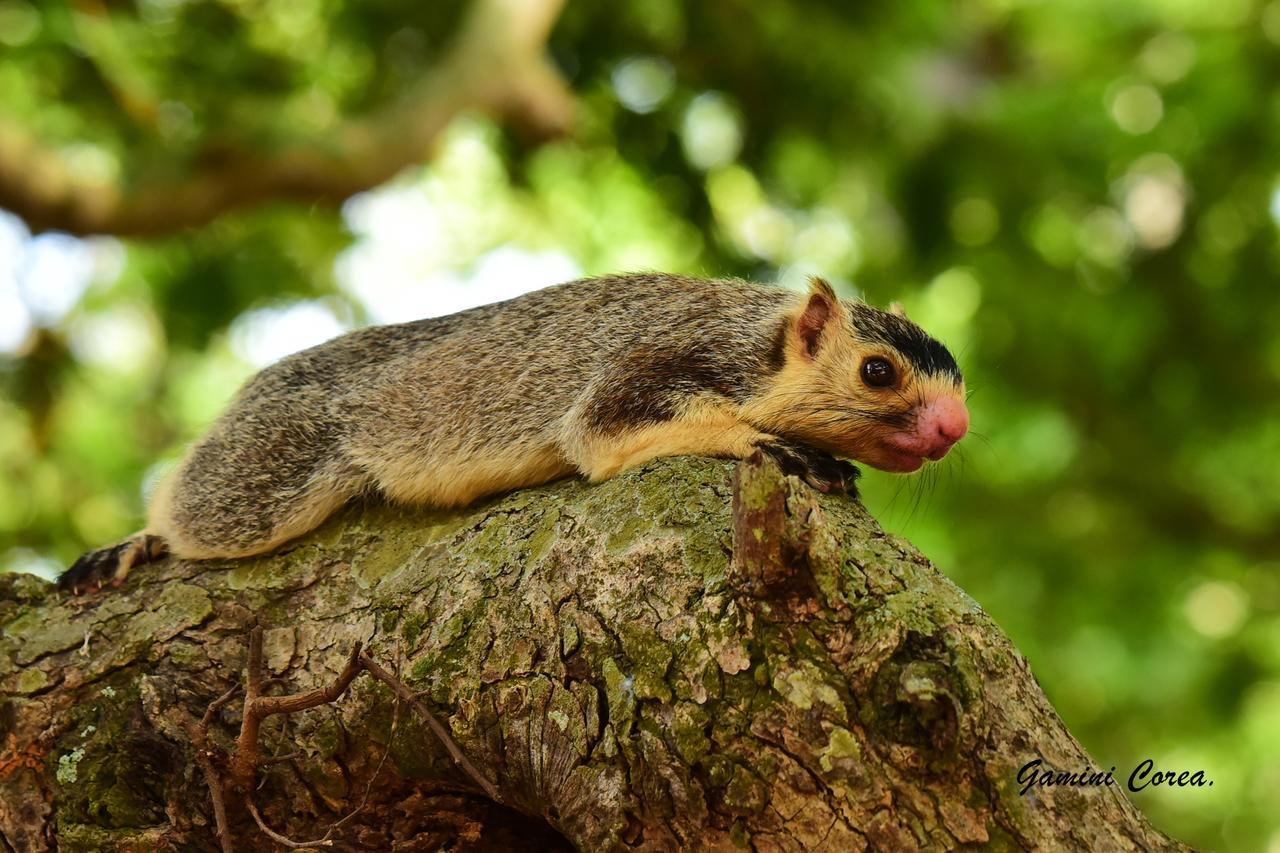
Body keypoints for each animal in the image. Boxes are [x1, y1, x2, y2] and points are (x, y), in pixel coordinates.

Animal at [55, 272, 962, 591]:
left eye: (957, 382)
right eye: (877, 371)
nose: (955, 427)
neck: (755, 340)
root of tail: (250, 391)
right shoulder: (649, 366)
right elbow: (607, 434)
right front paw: (778, 445)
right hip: (270, 467)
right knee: (195, 509)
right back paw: (138, 542)